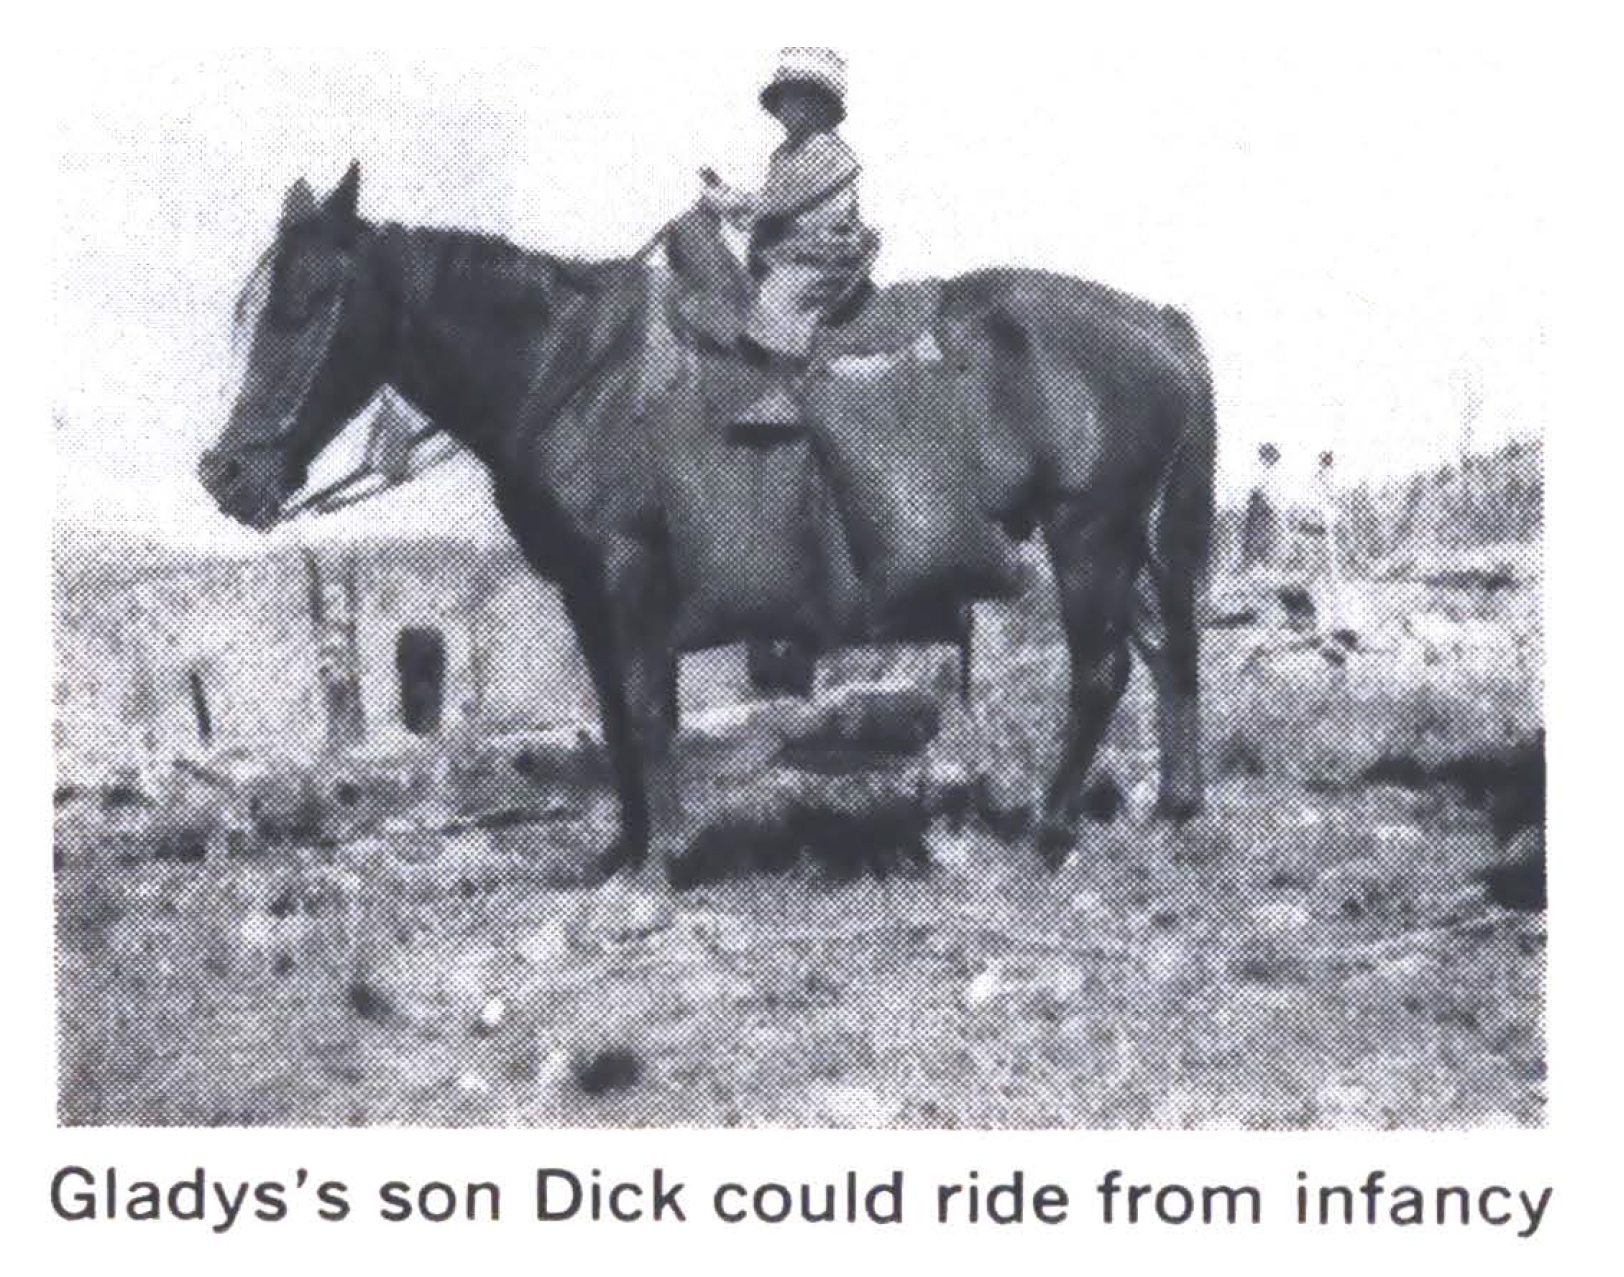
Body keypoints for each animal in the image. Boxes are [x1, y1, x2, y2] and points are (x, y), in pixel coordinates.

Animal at [199, 164, 1221, 883]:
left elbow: (649, 706)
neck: (574, 375)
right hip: (1120, 545)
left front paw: (664, 859)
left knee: (1101, 672)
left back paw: (1048, 830)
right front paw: (623, 851)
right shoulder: (584, 590)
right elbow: (614, 714)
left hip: (1088, 538)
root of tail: (1159, 323)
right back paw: (1172, 806)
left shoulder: (631, 571)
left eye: (302, 306)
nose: (225, 474)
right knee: (1166, 649)